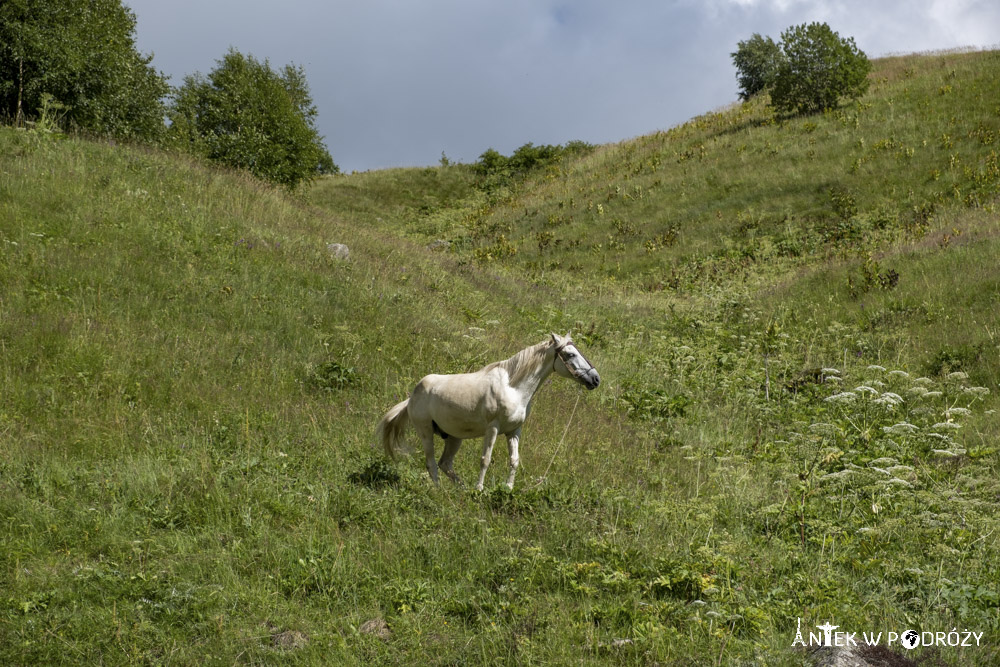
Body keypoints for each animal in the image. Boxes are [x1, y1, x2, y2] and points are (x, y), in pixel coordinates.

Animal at [374, 332, 592, 490]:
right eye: (570, 354)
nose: (594, 379)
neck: (514, 388)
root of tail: (412, 396)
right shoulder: (492, 428)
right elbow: (485, 459)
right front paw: (479, 489)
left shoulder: (514, 431)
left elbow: (514, 460)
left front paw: (508, 488)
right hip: (425, 432)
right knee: (431, 463)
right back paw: (439, 491)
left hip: (454, 437)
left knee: (445, 463)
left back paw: (461, 489)